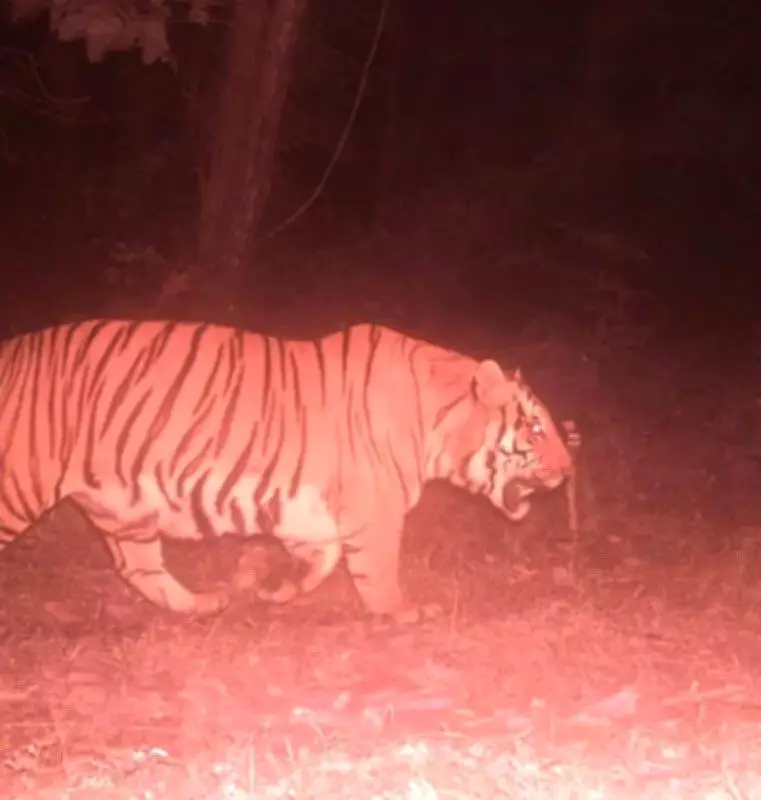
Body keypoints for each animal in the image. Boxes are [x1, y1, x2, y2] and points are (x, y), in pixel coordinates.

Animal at [0, 319, 573, 621]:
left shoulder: (311, 504)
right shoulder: (375, 510)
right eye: (536, 427)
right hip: (19, 487)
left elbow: (322, 559)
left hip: (122, 508)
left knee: (139, 568)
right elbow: (378, 571)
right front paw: (401, 614)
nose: (570, 467)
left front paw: (273, 588)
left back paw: (203, 603)